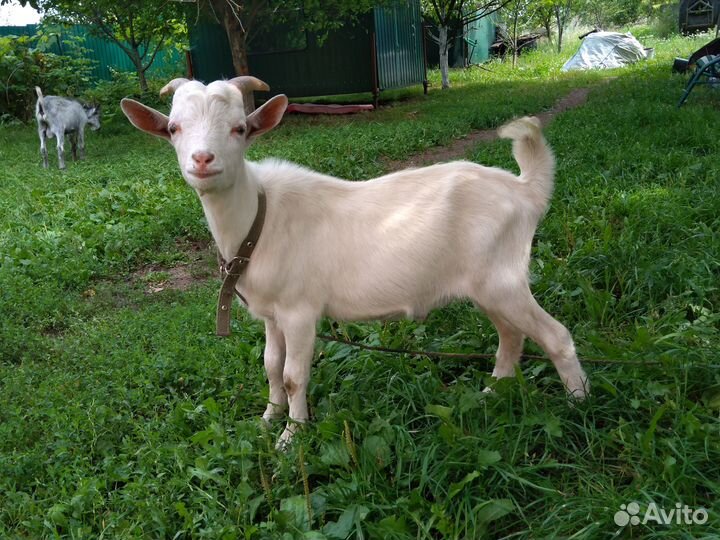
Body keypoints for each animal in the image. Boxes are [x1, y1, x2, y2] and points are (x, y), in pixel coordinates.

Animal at [120, 77, 589, 448]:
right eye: (174, 128)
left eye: (239, 129)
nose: (203, 160)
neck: (258, 218)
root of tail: (526, 190)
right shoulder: (270, 314)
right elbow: (270, 365)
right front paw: (267, 420)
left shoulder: (299, 311)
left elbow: (293, 375)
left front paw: (291, 437)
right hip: (488, 287)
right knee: (511, 336)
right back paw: (492, 393)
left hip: (504, 279)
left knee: (555, 335)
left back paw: (579, 405)